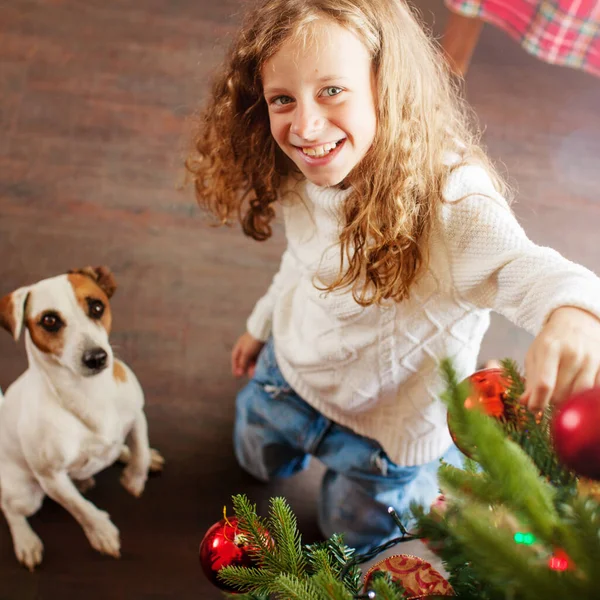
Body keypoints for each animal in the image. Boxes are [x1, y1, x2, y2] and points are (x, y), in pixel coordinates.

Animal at [0, 268, 163, 572]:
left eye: (97, 307)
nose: (96, 357)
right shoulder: (52, 478)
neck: (89, 393)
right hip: (25, 494)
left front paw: (135, 478)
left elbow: (140, 450)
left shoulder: (137, 416)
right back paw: (26, 542)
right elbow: (81, 508)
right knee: (11, 509)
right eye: (49, 320)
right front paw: (102, 533)